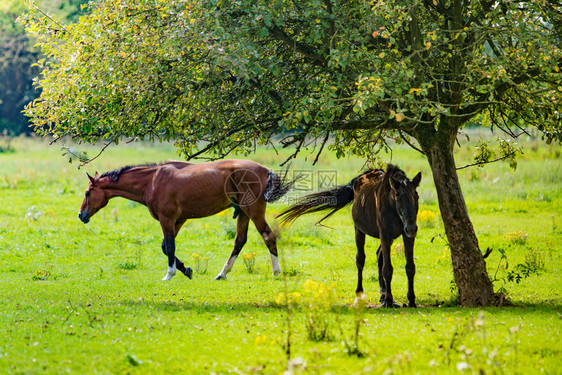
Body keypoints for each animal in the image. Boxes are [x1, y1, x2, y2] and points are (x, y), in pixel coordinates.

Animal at [79, 159, 294, 282]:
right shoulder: (179, 220)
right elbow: (165, 247)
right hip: (243, 213)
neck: (152, 181)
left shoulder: (167, 219)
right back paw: (222, 273)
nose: (81, 215)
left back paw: (276, 272)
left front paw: (170, 274)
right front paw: (187, 270)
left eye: (88, 193)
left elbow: (169, 247)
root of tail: (265, 170)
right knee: (239, 241)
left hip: (254, 211)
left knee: (268, 236)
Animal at [278, 165, 418, 308]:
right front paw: (389, 300)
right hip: (359, 230)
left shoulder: (406, 236)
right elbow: (387, 269)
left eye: (416, 197)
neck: (392, 208)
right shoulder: (385, 234)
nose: (412, 228)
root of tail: (360, 178)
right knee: (360, 259)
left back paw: (383, 296)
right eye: (397, 197)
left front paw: (411, 300)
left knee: (379, 257)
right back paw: (361, 294)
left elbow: (410, 267)